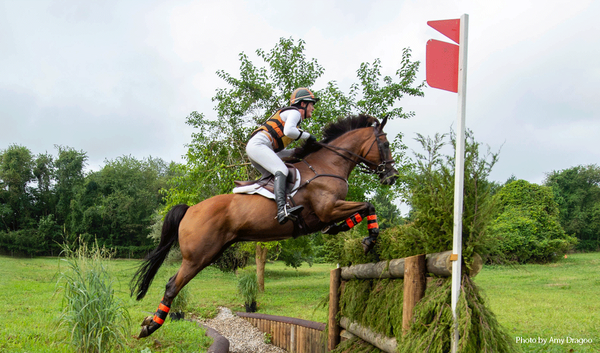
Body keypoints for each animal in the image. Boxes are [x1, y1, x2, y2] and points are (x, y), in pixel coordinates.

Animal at [134, 113, 400, 338]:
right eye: (385, 144)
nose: (392, 176)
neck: (328, 166)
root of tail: (190, 209)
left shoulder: (330, 211)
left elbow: (364, 208)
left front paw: (341, 229)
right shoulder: (329, 208)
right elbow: (368, 206)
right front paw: (369, 239)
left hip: (209, 253)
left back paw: (151, 323)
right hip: (198, 256)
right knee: (172, 285)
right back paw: (151, 326)